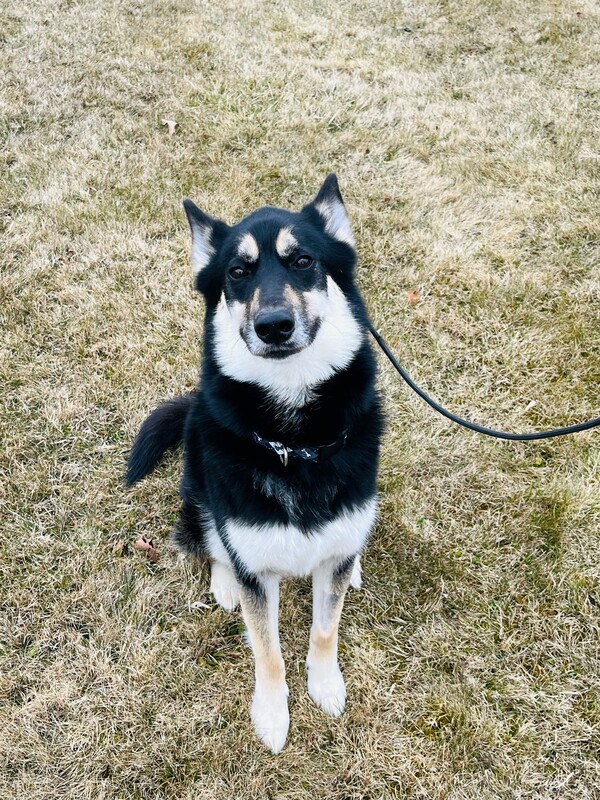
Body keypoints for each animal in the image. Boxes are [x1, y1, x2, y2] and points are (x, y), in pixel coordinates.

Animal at [125, 173, 384, 752]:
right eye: (237, 272)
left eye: (303, 261)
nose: (273, 325)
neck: (294, 438)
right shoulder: (253, 564)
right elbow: (267, 648)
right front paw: (271, 713)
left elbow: (325, 626)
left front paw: (325, 685)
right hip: (197, 484)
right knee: (211, 541)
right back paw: (223, 580)